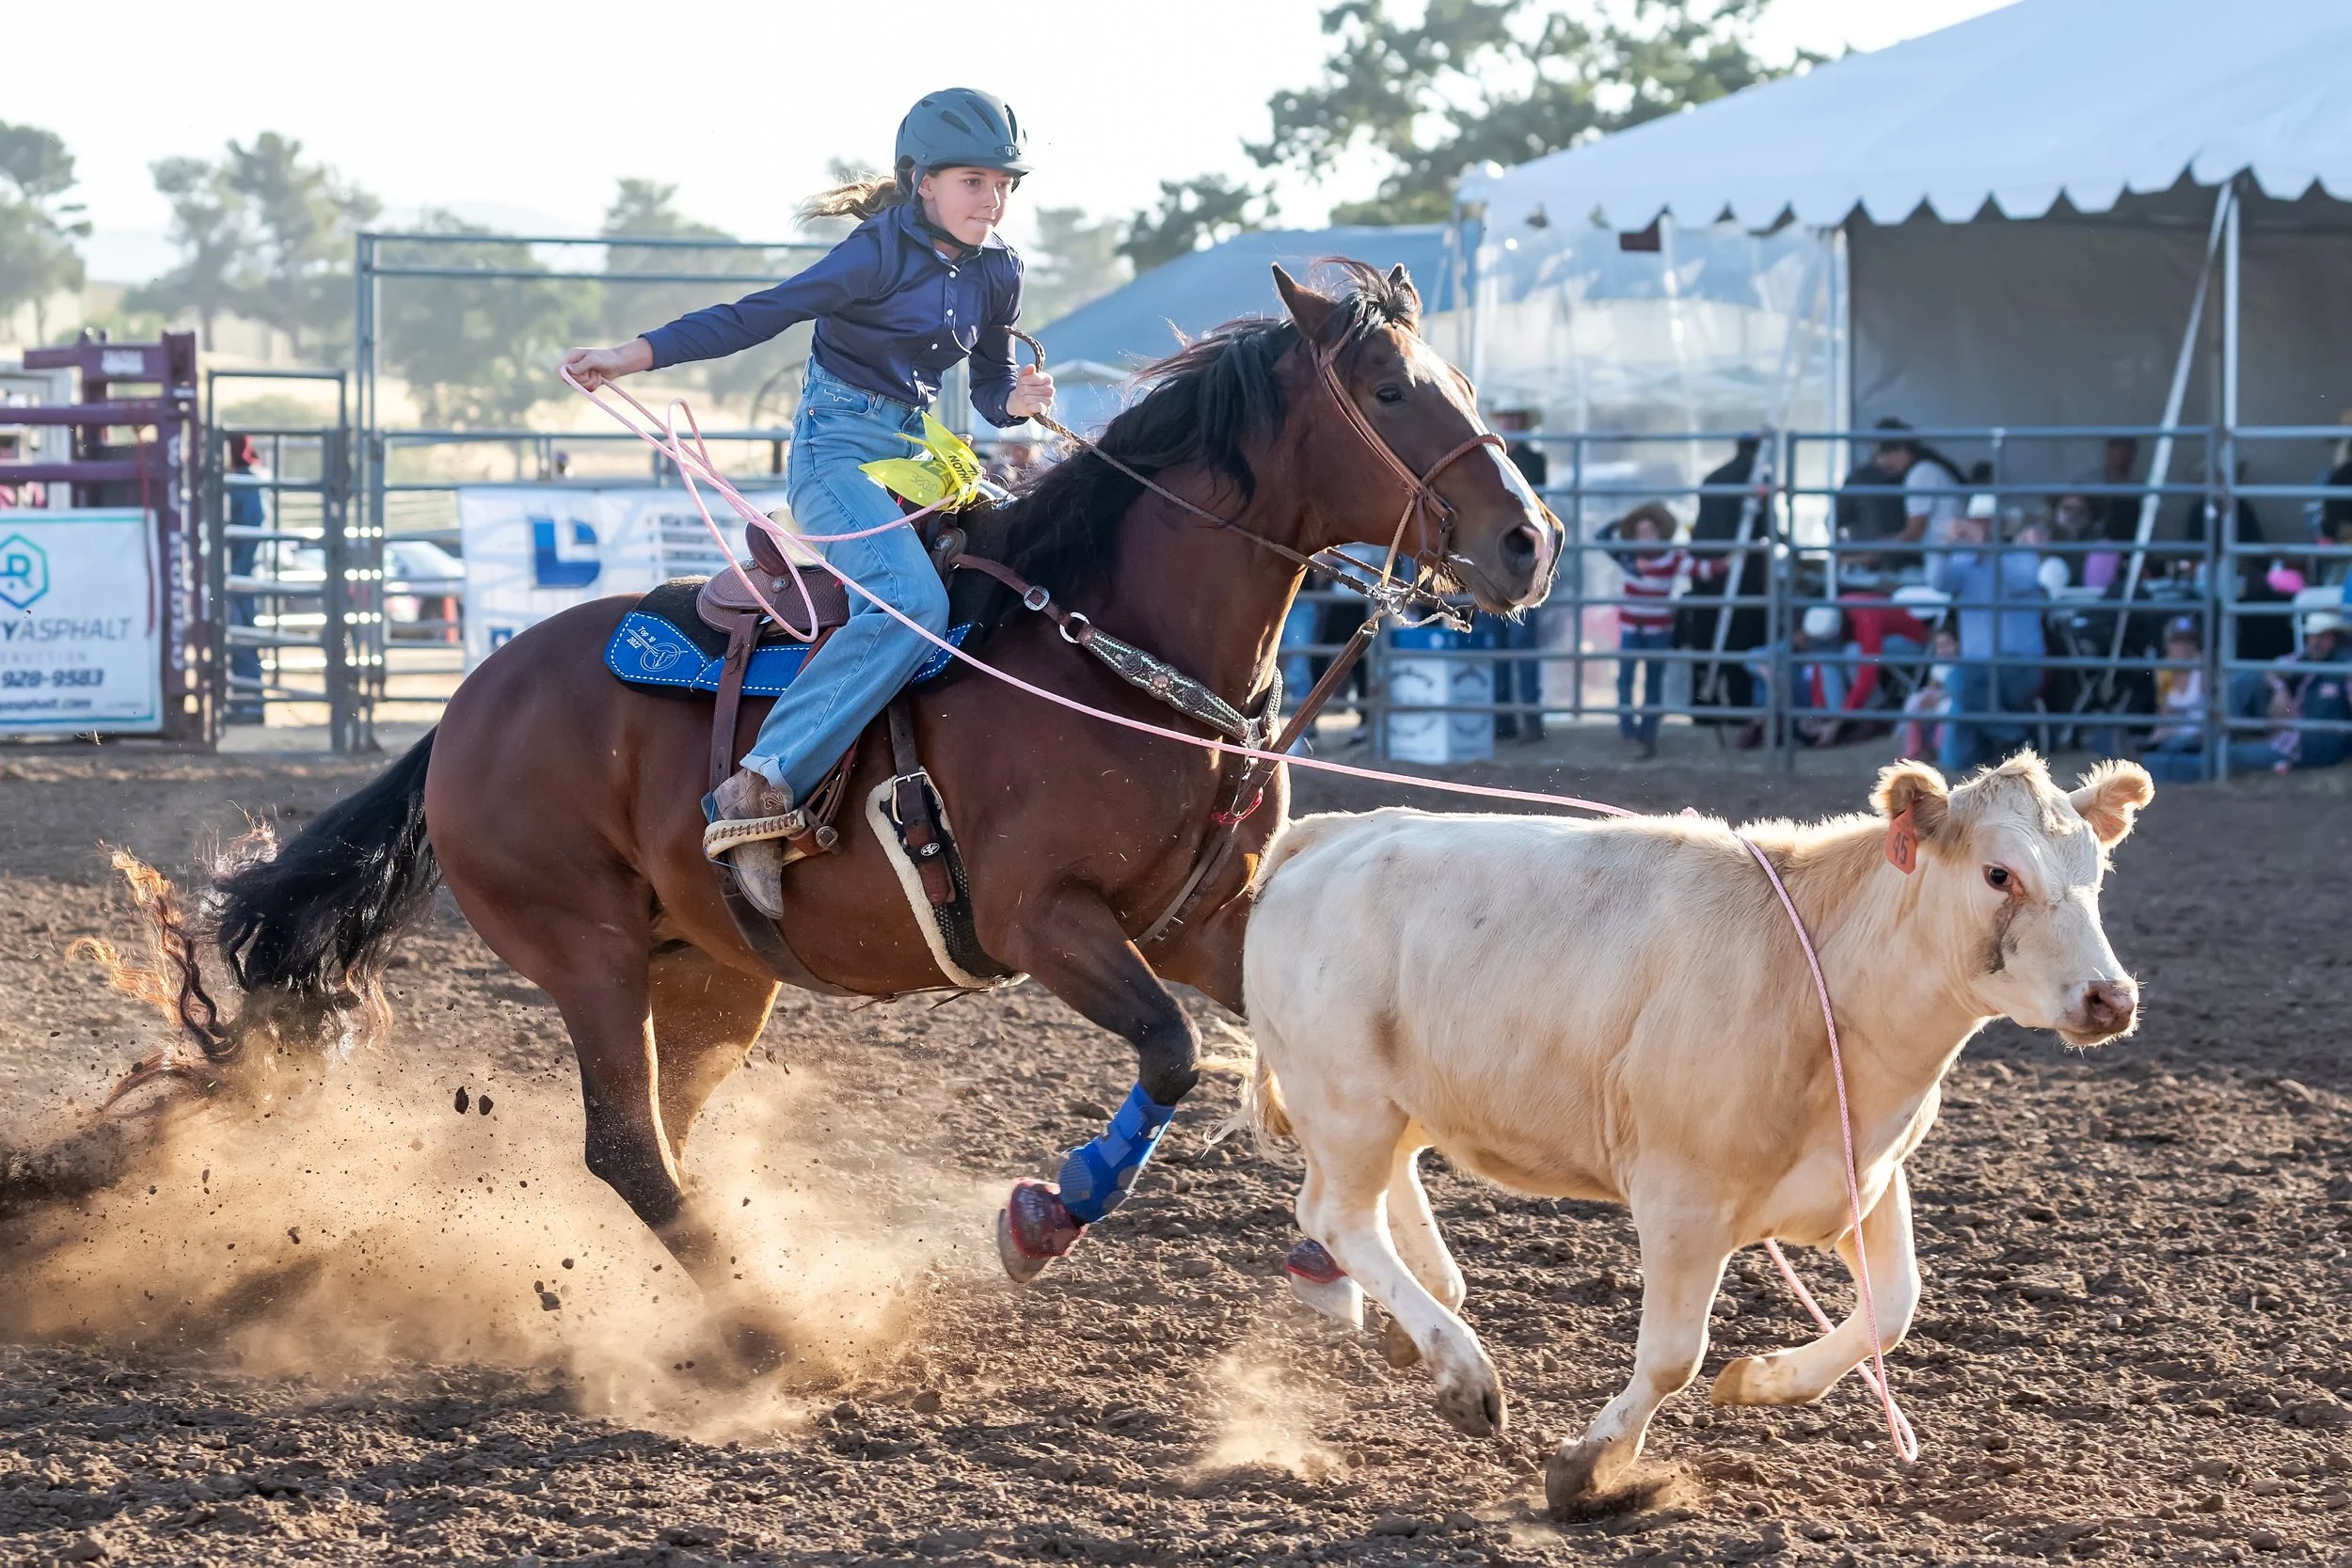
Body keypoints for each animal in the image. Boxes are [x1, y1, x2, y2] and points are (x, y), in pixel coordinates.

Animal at [101, 262, 1559, 1364]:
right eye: (1388, 389)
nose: (1530, 541)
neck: (1116, 647)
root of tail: (468, 703)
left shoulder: (1208, 919)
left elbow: (1317, 1065)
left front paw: (1370, 1269)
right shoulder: (1046, 922)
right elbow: (1169, 1051)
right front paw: (1042, 1217)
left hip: (709, 973)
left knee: (664, 1136)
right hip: (584, 947)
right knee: (625, 1146)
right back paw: (772, 1328)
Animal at [1238, 753, 2152, 1513]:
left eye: (2097, 873)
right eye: (2001, 872)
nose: (2111, 997)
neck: (1820, 980)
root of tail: (1332, 833)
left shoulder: (1864, 1177)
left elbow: (1893, 1306)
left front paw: (1760, 1381)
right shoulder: (1683, 1200)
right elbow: (1675, 1352)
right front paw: (1591, 1466)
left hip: (1398, 1098)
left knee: (1382, 1195)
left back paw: (1425, 1324)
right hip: (1345, 1094)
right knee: (1337, 1216)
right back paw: (1462, 1369)